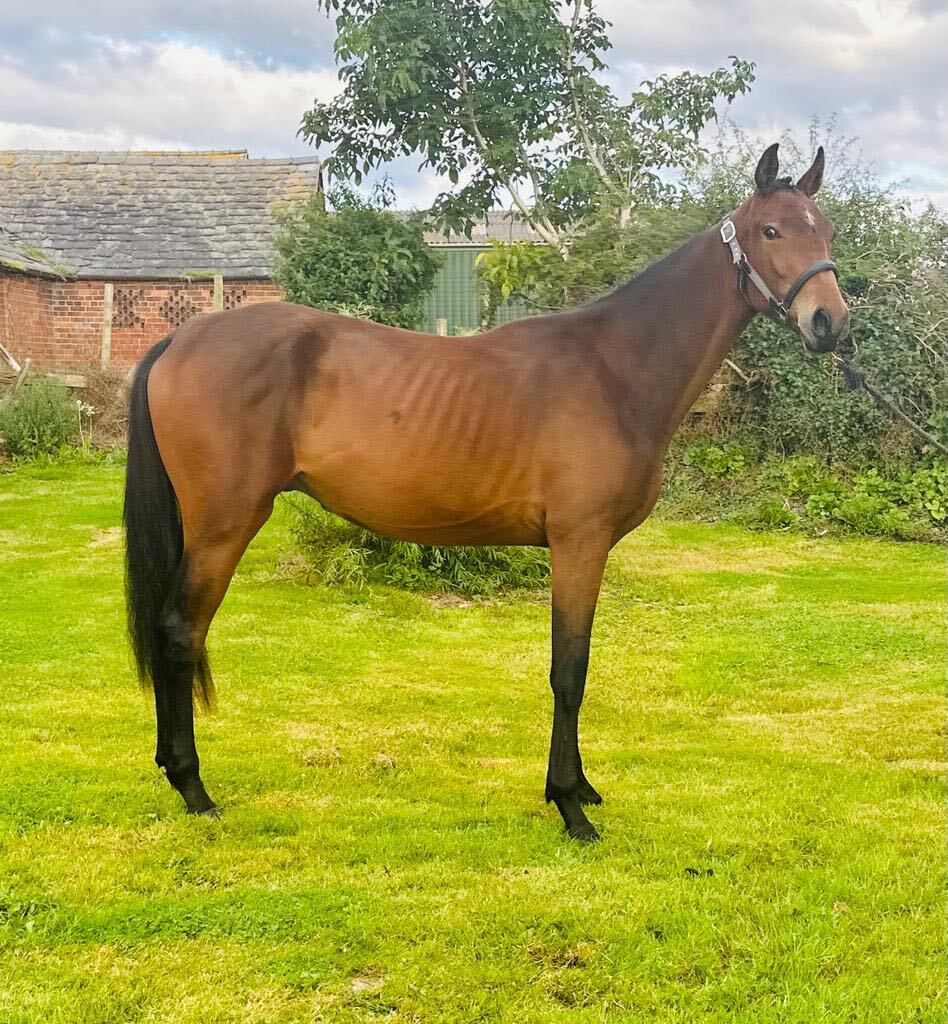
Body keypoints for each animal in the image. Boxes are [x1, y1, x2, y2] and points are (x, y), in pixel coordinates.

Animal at [124, 143, 849, 841]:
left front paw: (582, 788)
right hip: (224, 525)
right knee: (180, 631)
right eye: (771, 230)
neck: (615, 368)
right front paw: (569, 805)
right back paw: (193, 788)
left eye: (827, 229)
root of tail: (178, 339)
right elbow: (570, 671)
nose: (830, 323)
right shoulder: (579, 543)